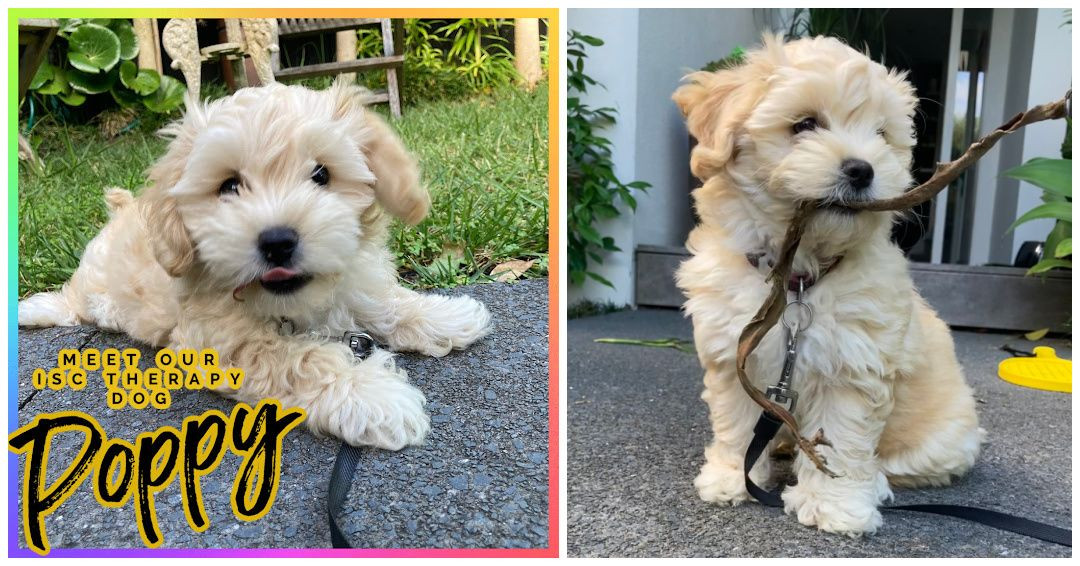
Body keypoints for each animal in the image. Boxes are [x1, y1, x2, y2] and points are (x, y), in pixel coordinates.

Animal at [21, 80, 494, 451]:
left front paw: (444, 315)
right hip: (93, 287)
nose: (278, 241)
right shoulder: (214, 341)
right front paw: (372, 395)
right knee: (74, 301)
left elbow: (382, 300)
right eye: (229, 186)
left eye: (322, 174)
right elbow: (298, 359)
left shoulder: (353, 280)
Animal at [673, 35, 989, 535]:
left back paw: (871, 483)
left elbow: (841, 438)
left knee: (893, 464)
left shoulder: (852, 367)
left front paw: (835, 506)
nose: (862, 170)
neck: (795, 279)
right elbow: (736, 423)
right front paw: (730, 478)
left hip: (940, 442)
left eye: (881, 134)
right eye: (804, 124)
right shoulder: (734, 356)